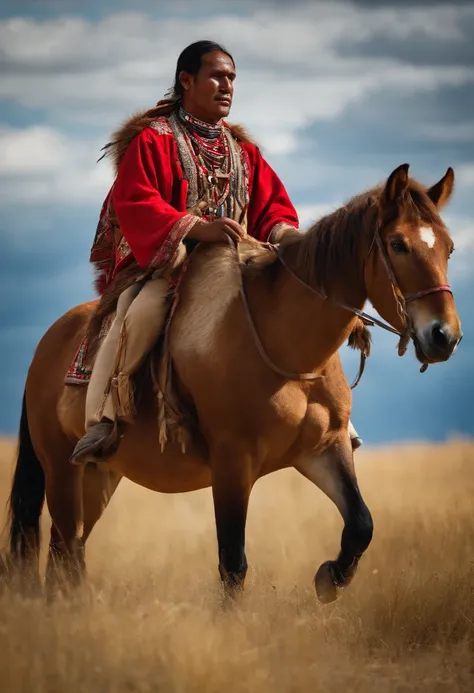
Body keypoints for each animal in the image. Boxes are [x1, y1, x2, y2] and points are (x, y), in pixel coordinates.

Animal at [0, 161, 460, 600]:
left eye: (450, 248)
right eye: (398, 244)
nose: (445, 336)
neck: (288, 350)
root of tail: (47, 344)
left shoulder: (324, 450)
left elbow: (361, 524)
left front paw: (330, 579)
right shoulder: (233, 463)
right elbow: (233, 564)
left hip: (99, 477)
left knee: (68, 554)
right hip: (61, 472)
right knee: (64, 552)